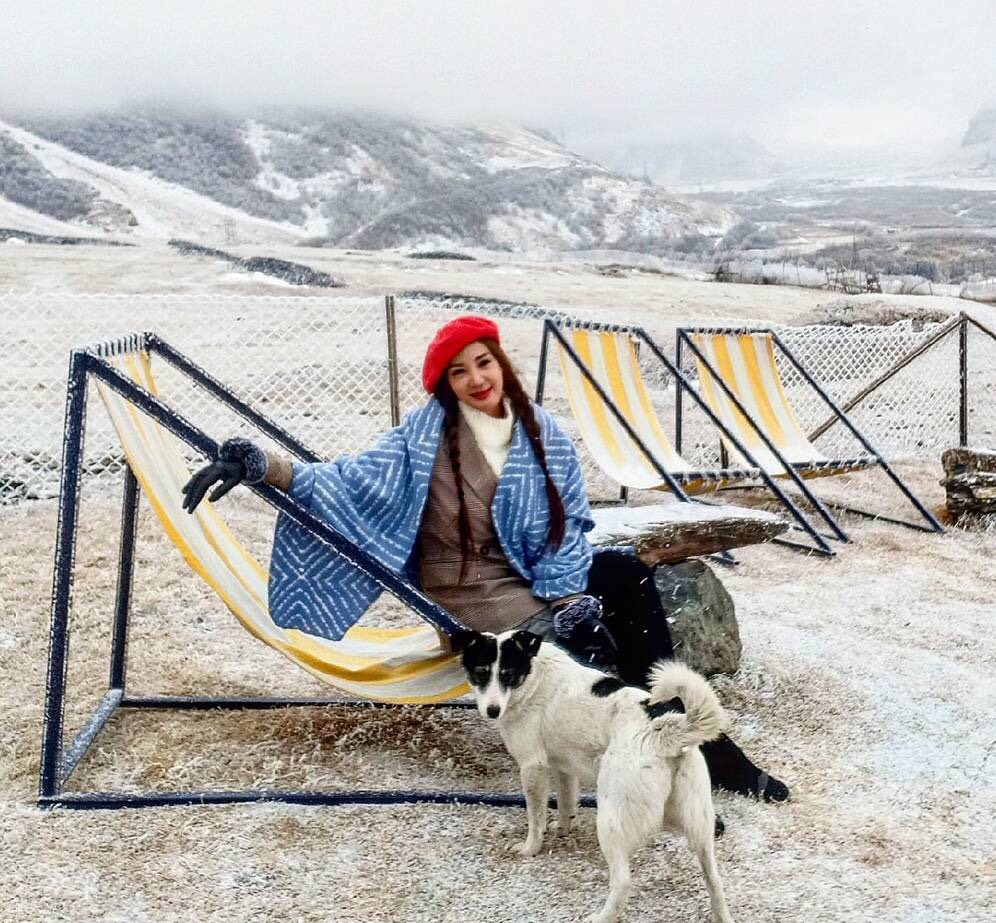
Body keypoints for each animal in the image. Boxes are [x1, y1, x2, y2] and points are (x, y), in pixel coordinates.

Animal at [456, 629, 733, 923]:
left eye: (507, 674)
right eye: (481, 672)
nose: (492, 711)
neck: (532, 678)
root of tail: (663, 731)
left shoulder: (533, 767)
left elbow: (535, 817)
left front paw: (530, 848)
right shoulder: (563, 768)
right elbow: (566, 803)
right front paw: (563, 830)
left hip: (611, 819)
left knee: (623, 881)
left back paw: (602, 916)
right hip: (699, 824)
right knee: (715, 879)